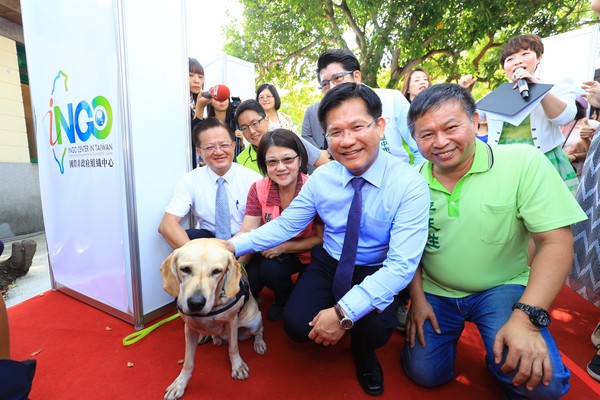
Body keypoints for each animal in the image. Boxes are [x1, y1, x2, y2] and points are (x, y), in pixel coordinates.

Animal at [161, 239, 266, 398]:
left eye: (217, 271)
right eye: (185, 269)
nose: (195, 303)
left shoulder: (232, 322)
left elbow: (233, 348)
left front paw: (238, 366)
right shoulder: (189, 328)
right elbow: (188, 362)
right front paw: (180, 383)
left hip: (253, 321)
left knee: (259, 330)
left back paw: (259, 343)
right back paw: (206, 337)